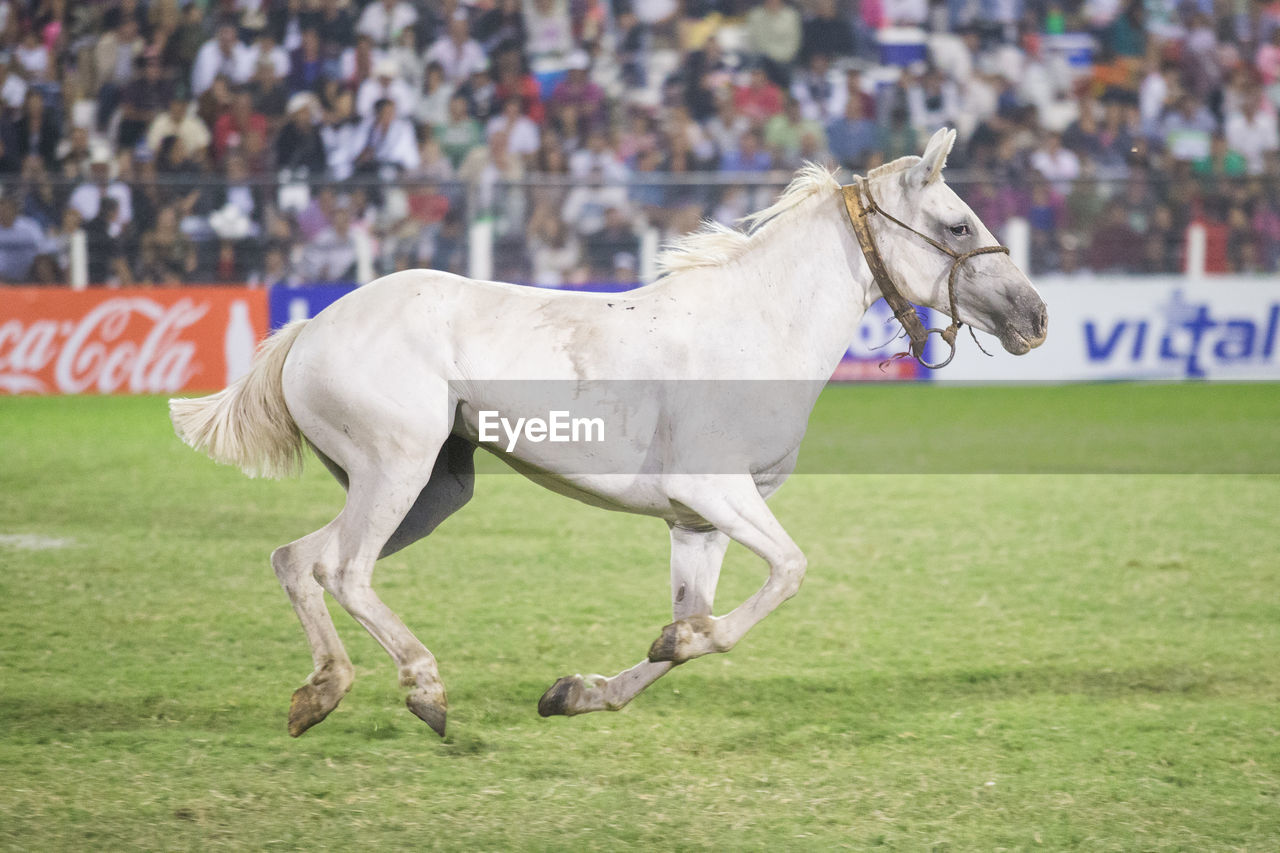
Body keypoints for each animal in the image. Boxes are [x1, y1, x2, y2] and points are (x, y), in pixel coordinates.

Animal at [172, 129, 1049, 732]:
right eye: (958, 225)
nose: (1035, 316)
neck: (756, 328)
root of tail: (309, 329)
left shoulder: (698, 522)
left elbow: (695, 620)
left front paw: (585, 688)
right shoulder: (715, 491)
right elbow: (789, 572)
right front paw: (667, 646)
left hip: (428, 488)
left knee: (299, 561)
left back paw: (321, 692)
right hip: (396, 469)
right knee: (345, 571)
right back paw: (425, 689)